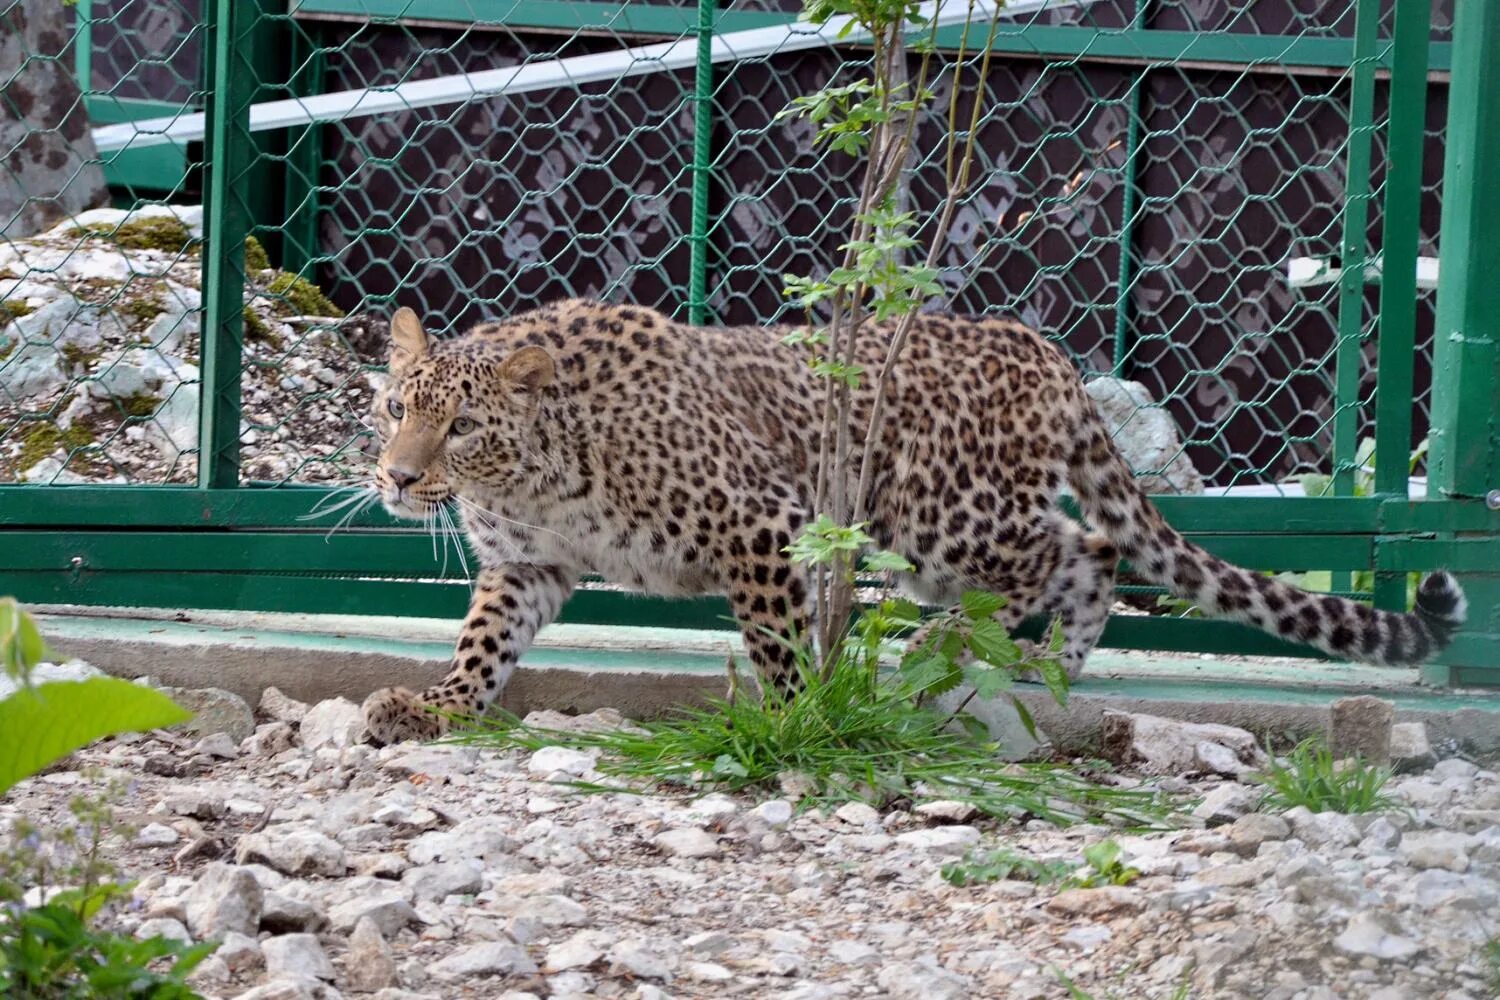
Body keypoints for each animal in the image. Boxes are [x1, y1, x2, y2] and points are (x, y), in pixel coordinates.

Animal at [360, 296, 1464, 743]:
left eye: (461, 425)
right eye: (393, 408)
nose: (396, 480)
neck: (529, 478)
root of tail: (1043, 351)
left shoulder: (765, 524)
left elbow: (780, 647)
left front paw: (797, 720)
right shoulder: (528, 568)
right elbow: (481, 644)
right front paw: (436, 707)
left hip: (941, 516)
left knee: (1075, 545)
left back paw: (958, 647)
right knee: (1089, 552)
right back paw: (1046, 666)